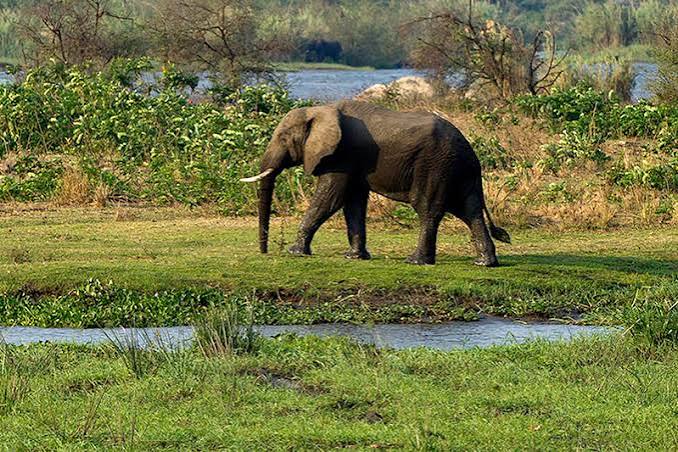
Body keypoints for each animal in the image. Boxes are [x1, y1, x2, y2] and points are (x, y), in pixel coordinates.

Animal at [241, 100, 510, 265]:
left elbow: (330, 197)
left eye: (283, 138)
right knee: (469, 211)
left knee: (427, 208)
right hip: (457, 171)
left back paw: (415, 261)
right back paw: (485, 263)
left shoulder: (342, 155)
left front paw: (295, 252)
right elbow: (353, 203)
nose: (265, 251)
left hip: (436, 165)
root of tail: (470, 151)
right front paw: (354, 257)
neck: (320, 110)